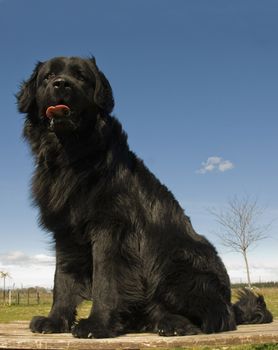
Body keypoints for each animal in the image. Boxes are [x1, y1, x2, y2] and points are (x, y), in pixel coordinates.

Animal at [16, 57, 272, 340]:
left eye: (81, 77)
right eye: (48, 76)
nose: (62, 84)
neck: (72, 156)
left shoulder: (110, 229)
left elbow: (104, 280)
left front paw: (97, 325)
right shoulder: (64, 231)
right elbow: (61, 279)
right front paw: (54, 320)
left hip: (176, 267)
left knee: (218, 316)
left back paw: (174, 324)